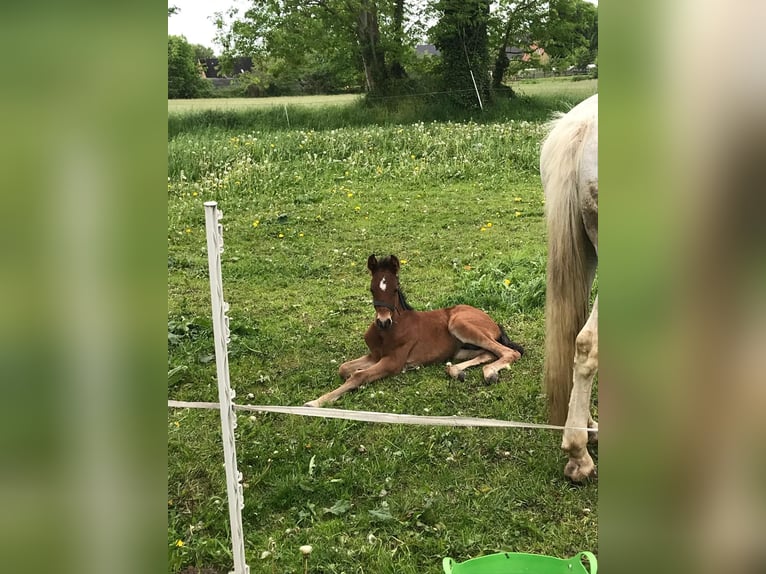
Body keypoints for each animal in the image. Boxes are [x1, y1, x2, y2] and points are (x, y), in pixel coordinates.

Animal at [306, 256, 528, 410]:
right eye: (371, 289)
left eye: (395, 289)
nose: (383, 322)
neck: (389, 331)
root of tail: (493, 321)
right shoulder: (375, 356)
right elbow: (344, 368)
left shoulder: (393, 361)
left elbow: (358, 376)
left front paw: (315, 403)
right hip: (460, 349)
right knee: (489, 353)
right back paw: (457, 371)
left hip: (460, 323)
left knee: (508, 352)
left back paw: (489, 373)